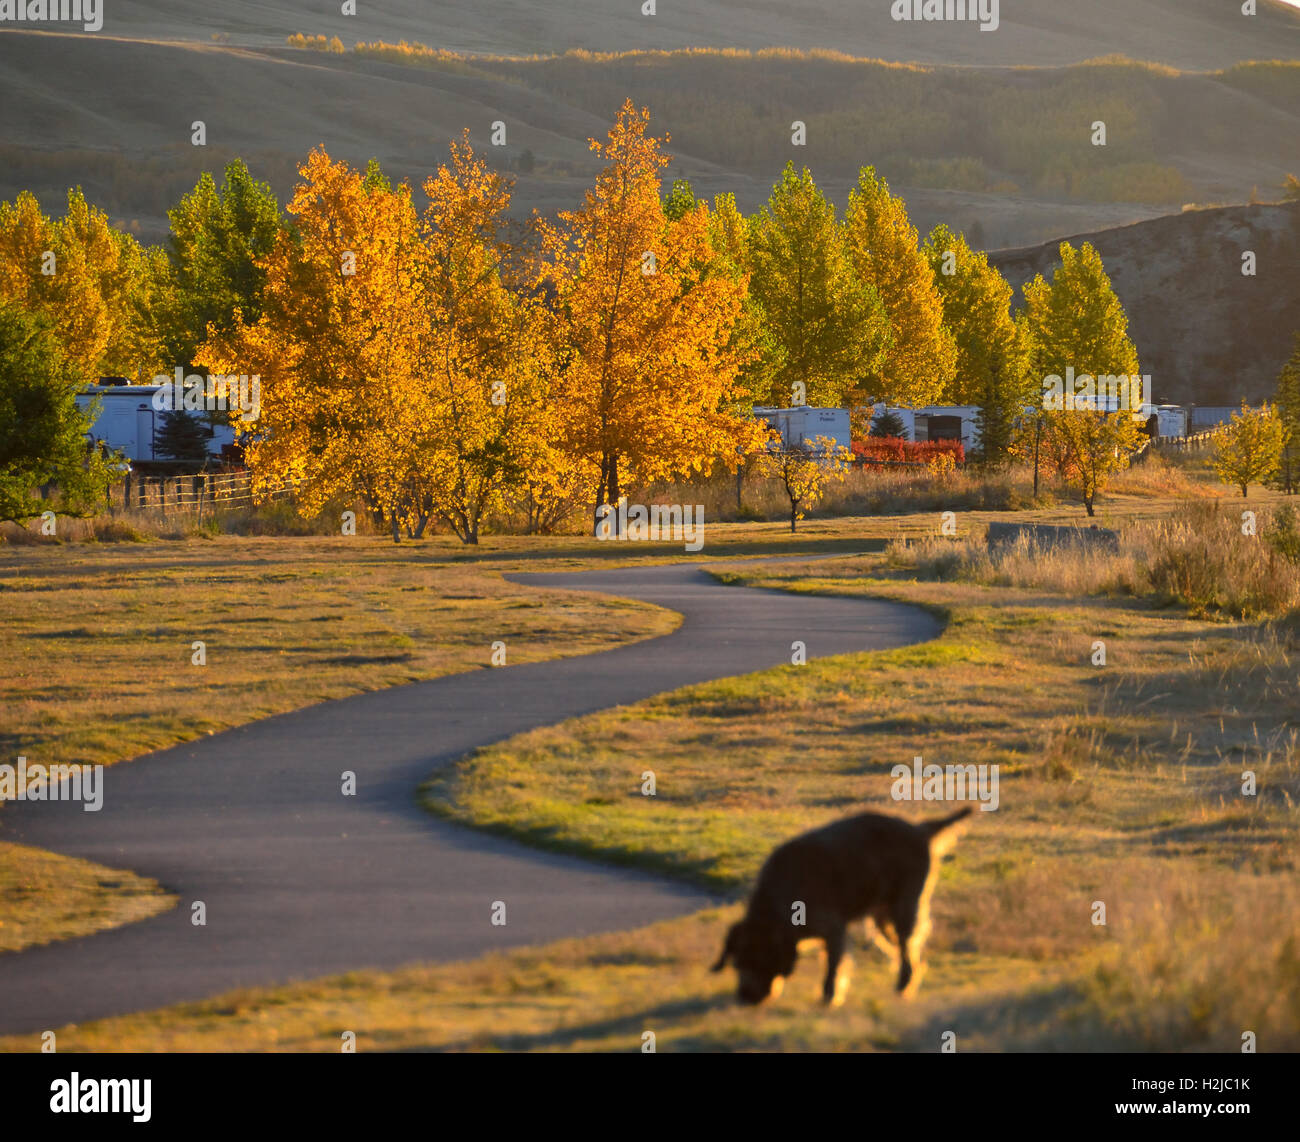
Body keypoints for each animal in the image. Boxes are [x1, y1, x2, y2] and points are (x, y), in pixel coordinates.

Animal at [712, 811, 977, 1004]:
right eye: (737, 963)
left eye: (759, 961)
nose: (744, 998)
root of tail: (918, 829)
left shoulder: (833, 929)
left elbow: (833, 966)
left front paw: (828, 999)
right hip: (882, 919)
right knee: (910, 951)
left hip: (904, 907)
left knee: (907, 947)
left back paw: (903, 985)